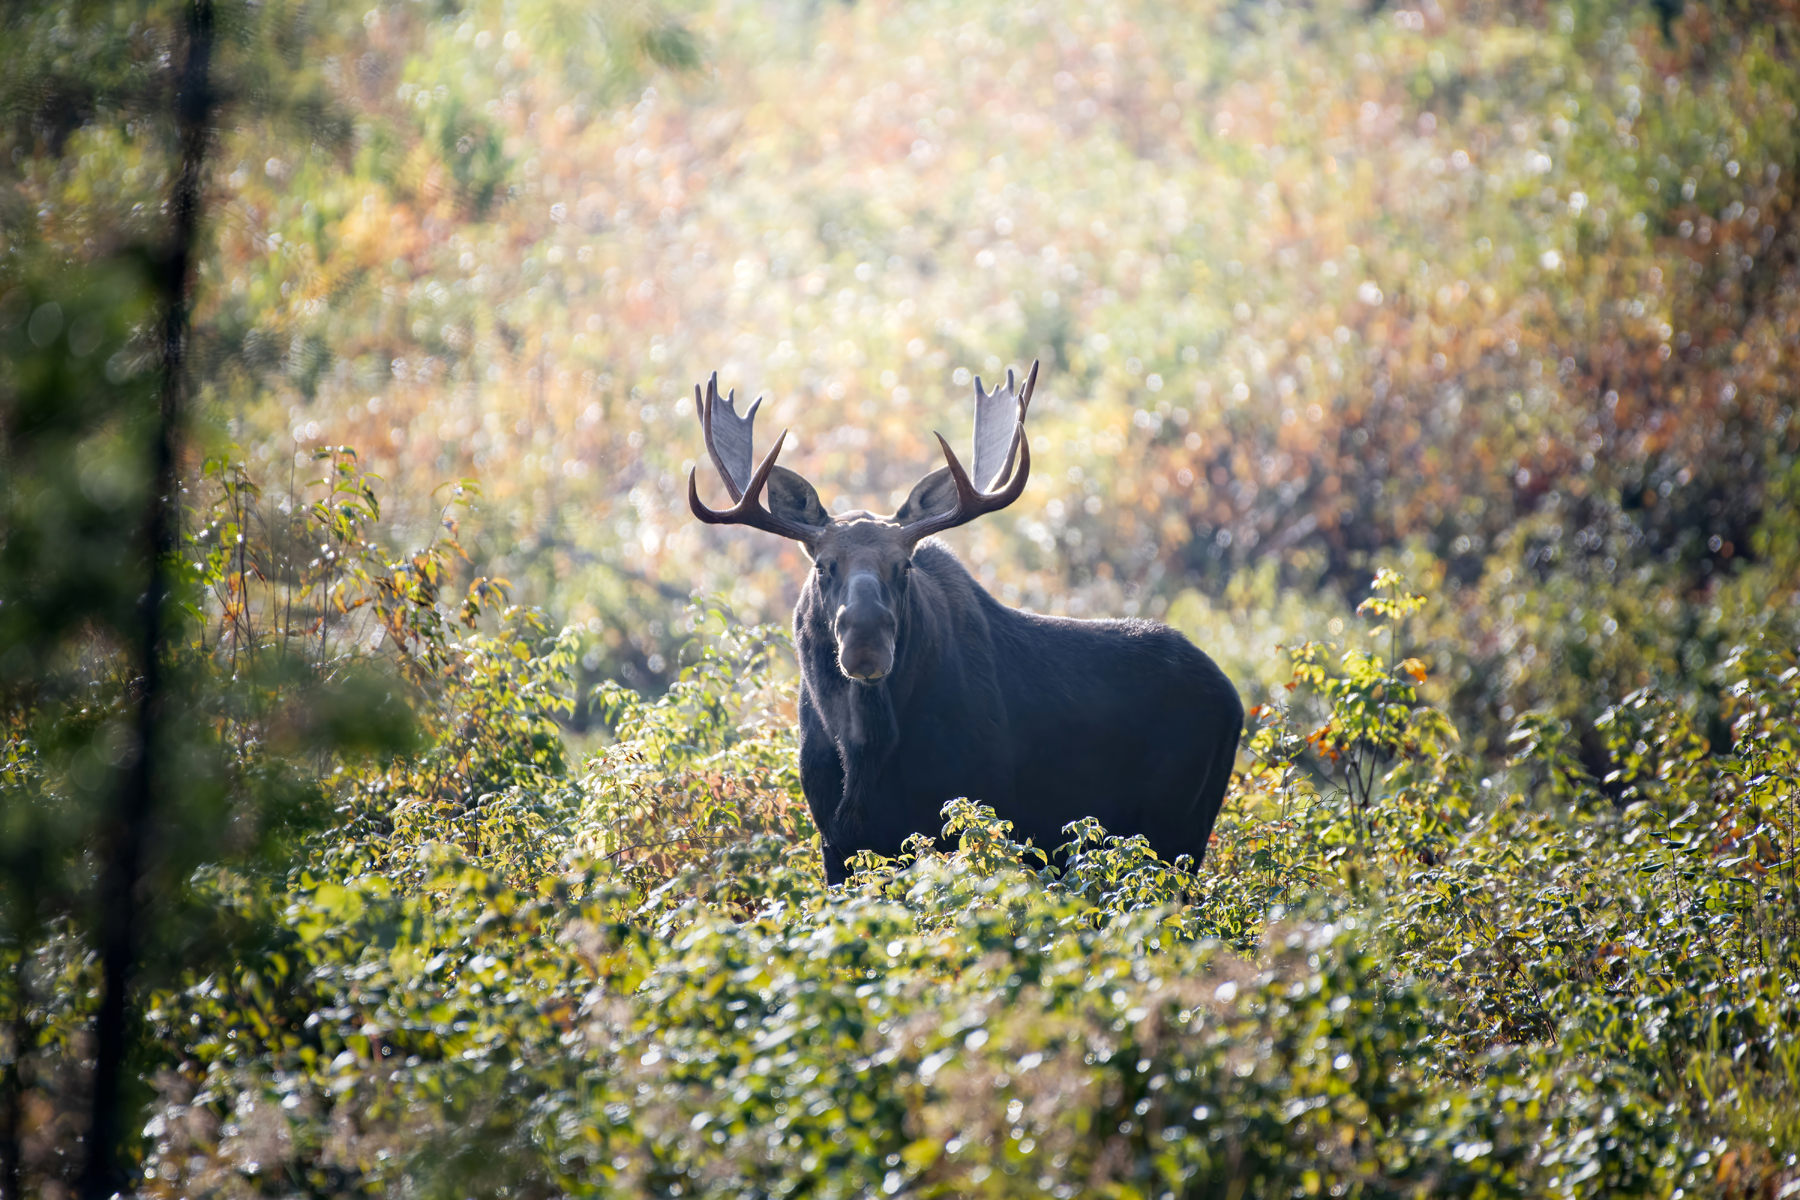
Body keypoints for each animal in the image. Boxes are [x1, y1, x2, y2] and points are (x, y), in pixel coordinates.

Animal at [688, 361, 1243, 885]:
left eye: (904, 566)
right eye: (824, 566)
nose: (866, 643)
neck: (864, 752)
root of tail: (1233, 698)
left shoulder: (972, 816)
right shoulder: (835, 840)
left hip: (1178, 828)